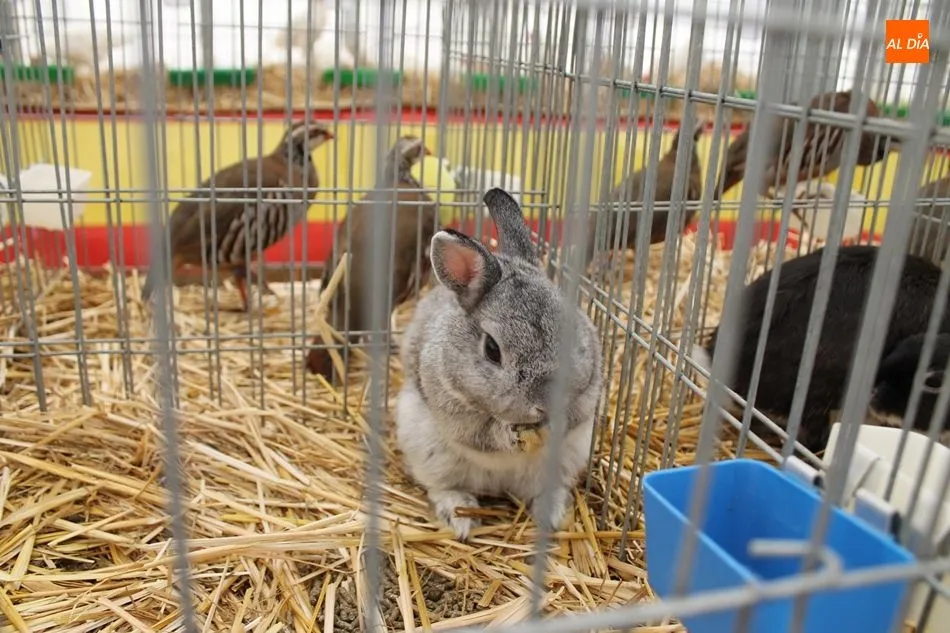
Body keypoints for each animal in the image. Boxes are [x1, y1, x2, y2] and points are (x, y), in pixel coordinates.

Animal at [395, 187, 603, 541]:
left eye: (572, 330)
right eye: (492, 350)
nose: (545, 402)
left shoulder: (589, 393)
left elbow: (574, 415)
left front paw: (554, 423)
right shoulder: (457, 410)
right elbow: (485, 433)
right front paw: (511, 436)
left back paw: (552, 516)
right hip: (429, 451)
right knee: (443, 487)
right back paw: (461, 518)